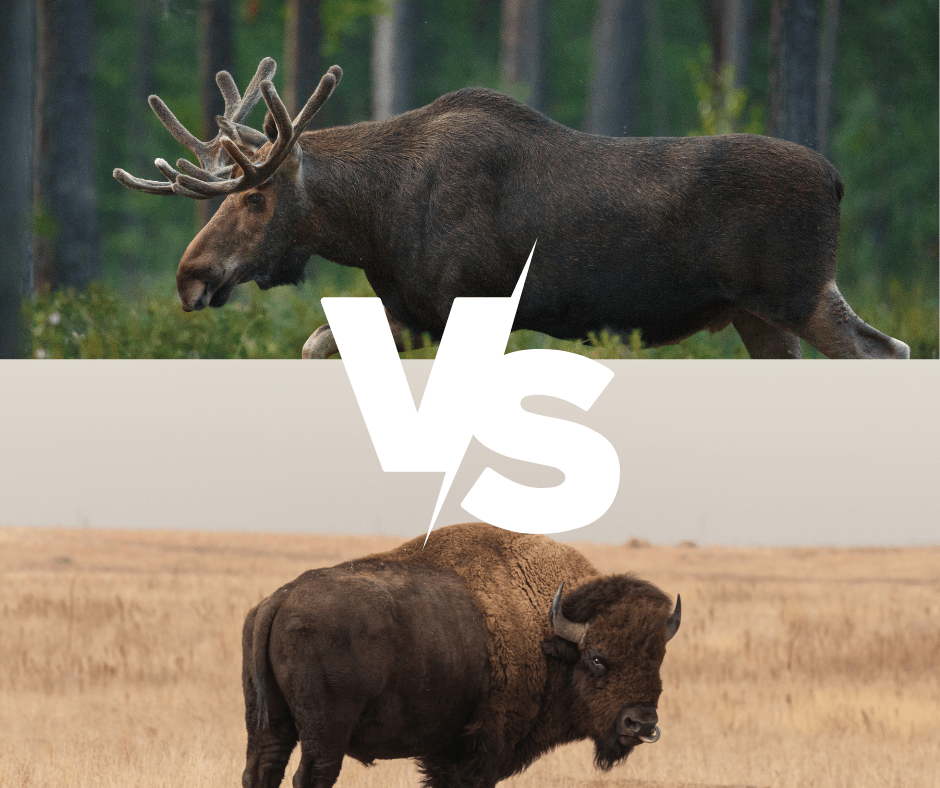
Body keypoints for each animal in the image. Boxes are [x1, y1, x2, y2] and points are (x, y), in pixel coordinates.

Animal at [113, 58, 910, 359]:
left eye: (254, 195)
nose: (191, 275)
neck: (372, 227)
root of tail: (838, 181)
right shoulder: (410, 311)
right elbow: (314, 346)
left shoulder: (468, 304)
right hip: (759, 312)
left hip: (795, 293)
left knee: (883, 350)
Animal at [241, 522, 681, 787]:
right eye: (597, 657)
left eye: (658, 657)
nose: (640, 723)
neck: (545, 627)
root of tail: (280, 599)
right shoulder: (480, 754)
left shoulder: (445, 753)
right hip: (324, 734)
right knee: (311, 776)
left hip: (270, 725)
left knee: (261, 770)